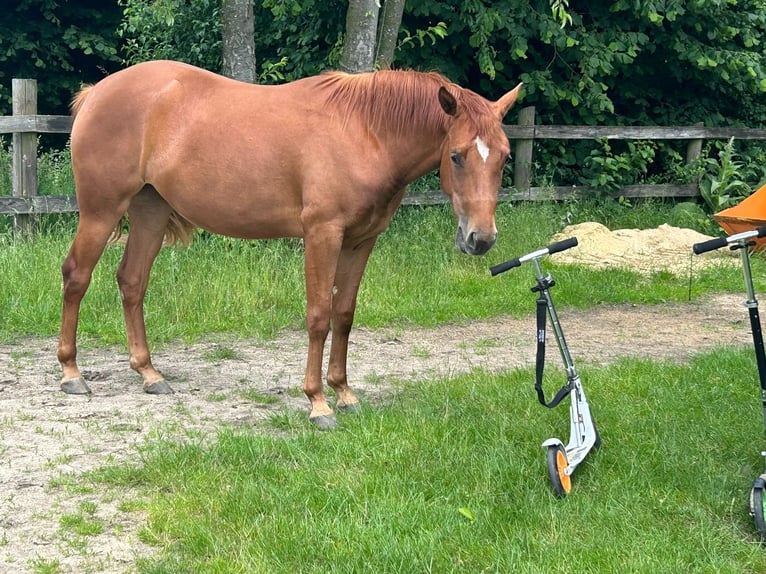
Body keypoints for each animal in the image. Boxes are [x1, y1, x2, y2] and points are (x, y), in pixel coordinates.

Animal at [55, 60, 520, 430]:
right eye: (456, 155)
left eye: (504, 156)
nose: (481, 239)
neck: (364, 132)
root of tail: (98, 92)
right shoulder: (321, 235)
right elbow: (318, 317)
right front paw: (318, 404)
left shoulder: (361, 241)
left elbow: (344, 315)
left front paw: (344, 393)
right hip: (101, 212)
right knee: (77, 276)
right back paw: (72, 373)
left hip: (150, 213)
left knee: (132, 282)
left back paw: (149, 374)